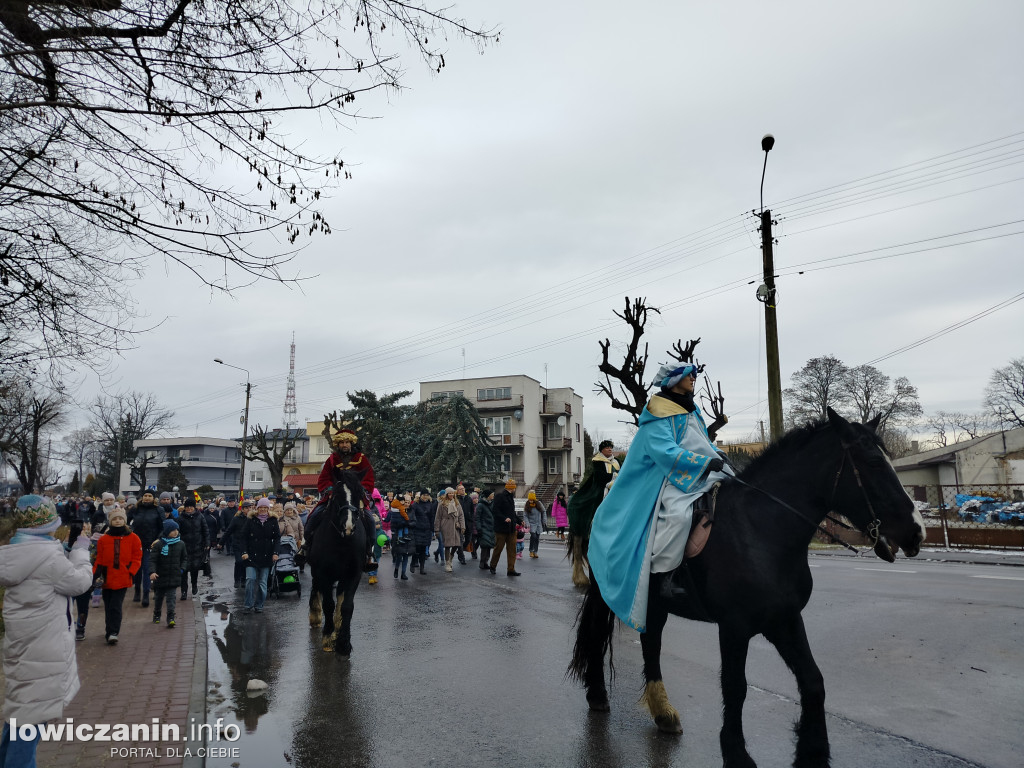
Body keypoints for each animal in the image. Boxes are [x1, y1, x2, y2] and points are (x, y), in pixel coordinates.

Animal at [307, 468, 368, 655]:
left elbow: (347, 606)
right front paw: (328, 637)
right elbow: (328, 603)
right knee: (316, 588)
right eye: (336, 495)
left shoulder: (354, 574)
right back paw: (315, 614)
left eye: (359, 494)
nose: (348, 526)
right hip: (317, 572)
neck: (343, 541)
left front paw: (344, 642)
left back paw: (338, 624)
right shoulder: (323, 573)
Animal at [569, 409, 929, 768]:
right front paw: (736, 753)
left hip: (653, 601)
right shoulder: (734, 627)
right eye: (873, 462)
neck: (760, 530)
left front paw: (812, 753)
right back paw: (598, 695)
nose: (916, 533)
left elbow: (813, 681)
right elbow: (735, 686)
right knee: (598, 634)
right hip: (608, 592)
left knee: (651, 642)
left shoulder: (784, 620)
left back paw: (663, 713)